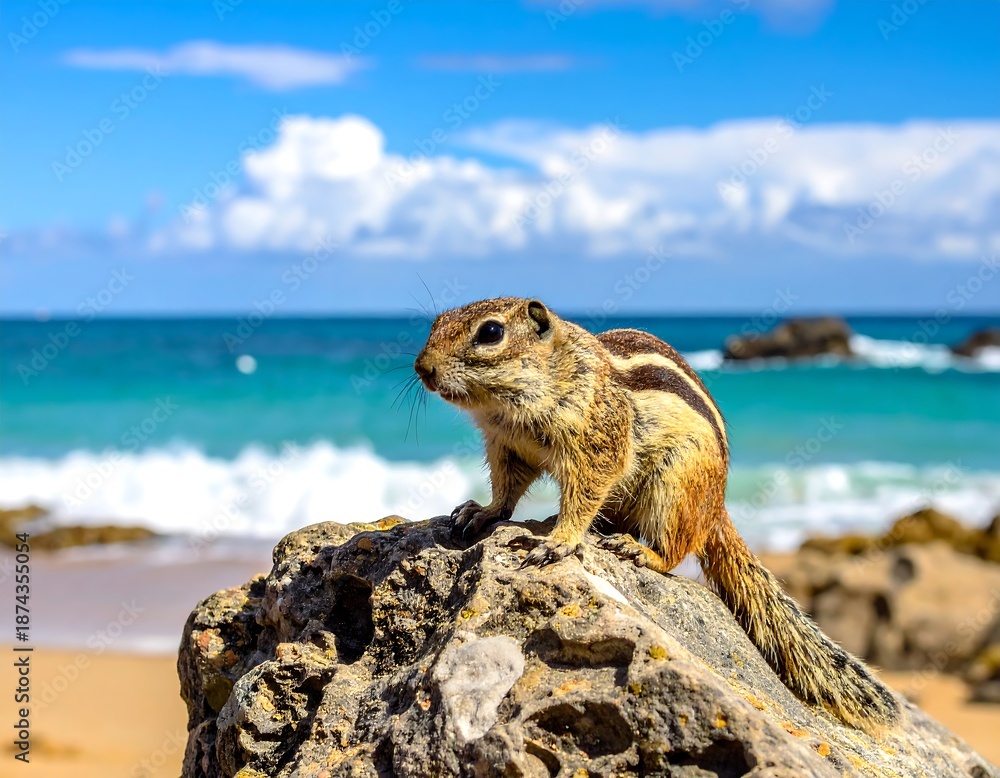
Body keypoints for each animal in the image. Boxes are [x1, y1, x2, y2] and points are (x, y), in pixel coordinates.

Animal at [414, 296, 900, 733]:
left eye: (491, 333)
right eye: (436, 322)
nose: (422, 368)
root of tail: (716, 507)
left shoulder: (599, 441)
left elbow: (586, 491)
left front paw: (558, 541)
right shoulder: (507, 445)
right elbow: (507, 489)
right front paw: (482, 511)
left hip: (674, 487)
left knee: (675, 548)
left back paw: (640, 551)